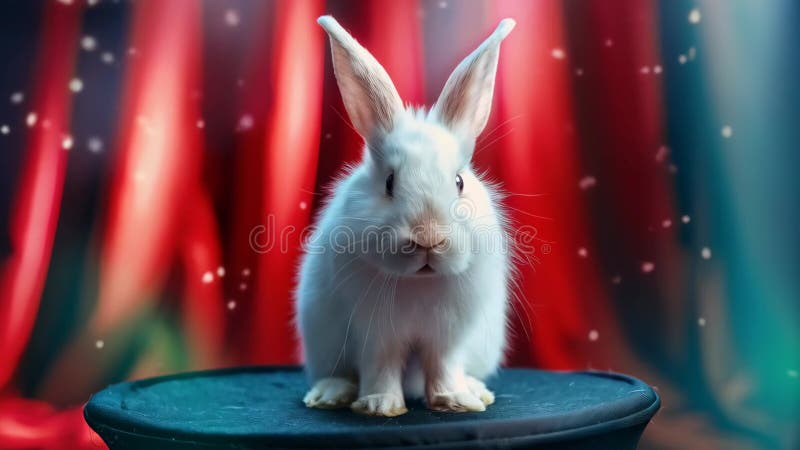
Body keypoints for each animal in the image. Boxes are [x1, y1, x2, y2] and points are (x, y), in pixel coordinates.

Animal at [296, 15, 515, 417]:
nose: (428, 237)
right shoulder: (374, 333)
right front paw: (379, 406)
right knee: (339, 372)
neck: (418, 283)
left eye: (459, 181)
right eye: (389, 182)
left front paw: (454, 401)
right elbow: (379, 366)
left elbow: (444, 364)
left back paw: (476, 390)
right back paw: (331, 395)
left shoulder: (448, 335)